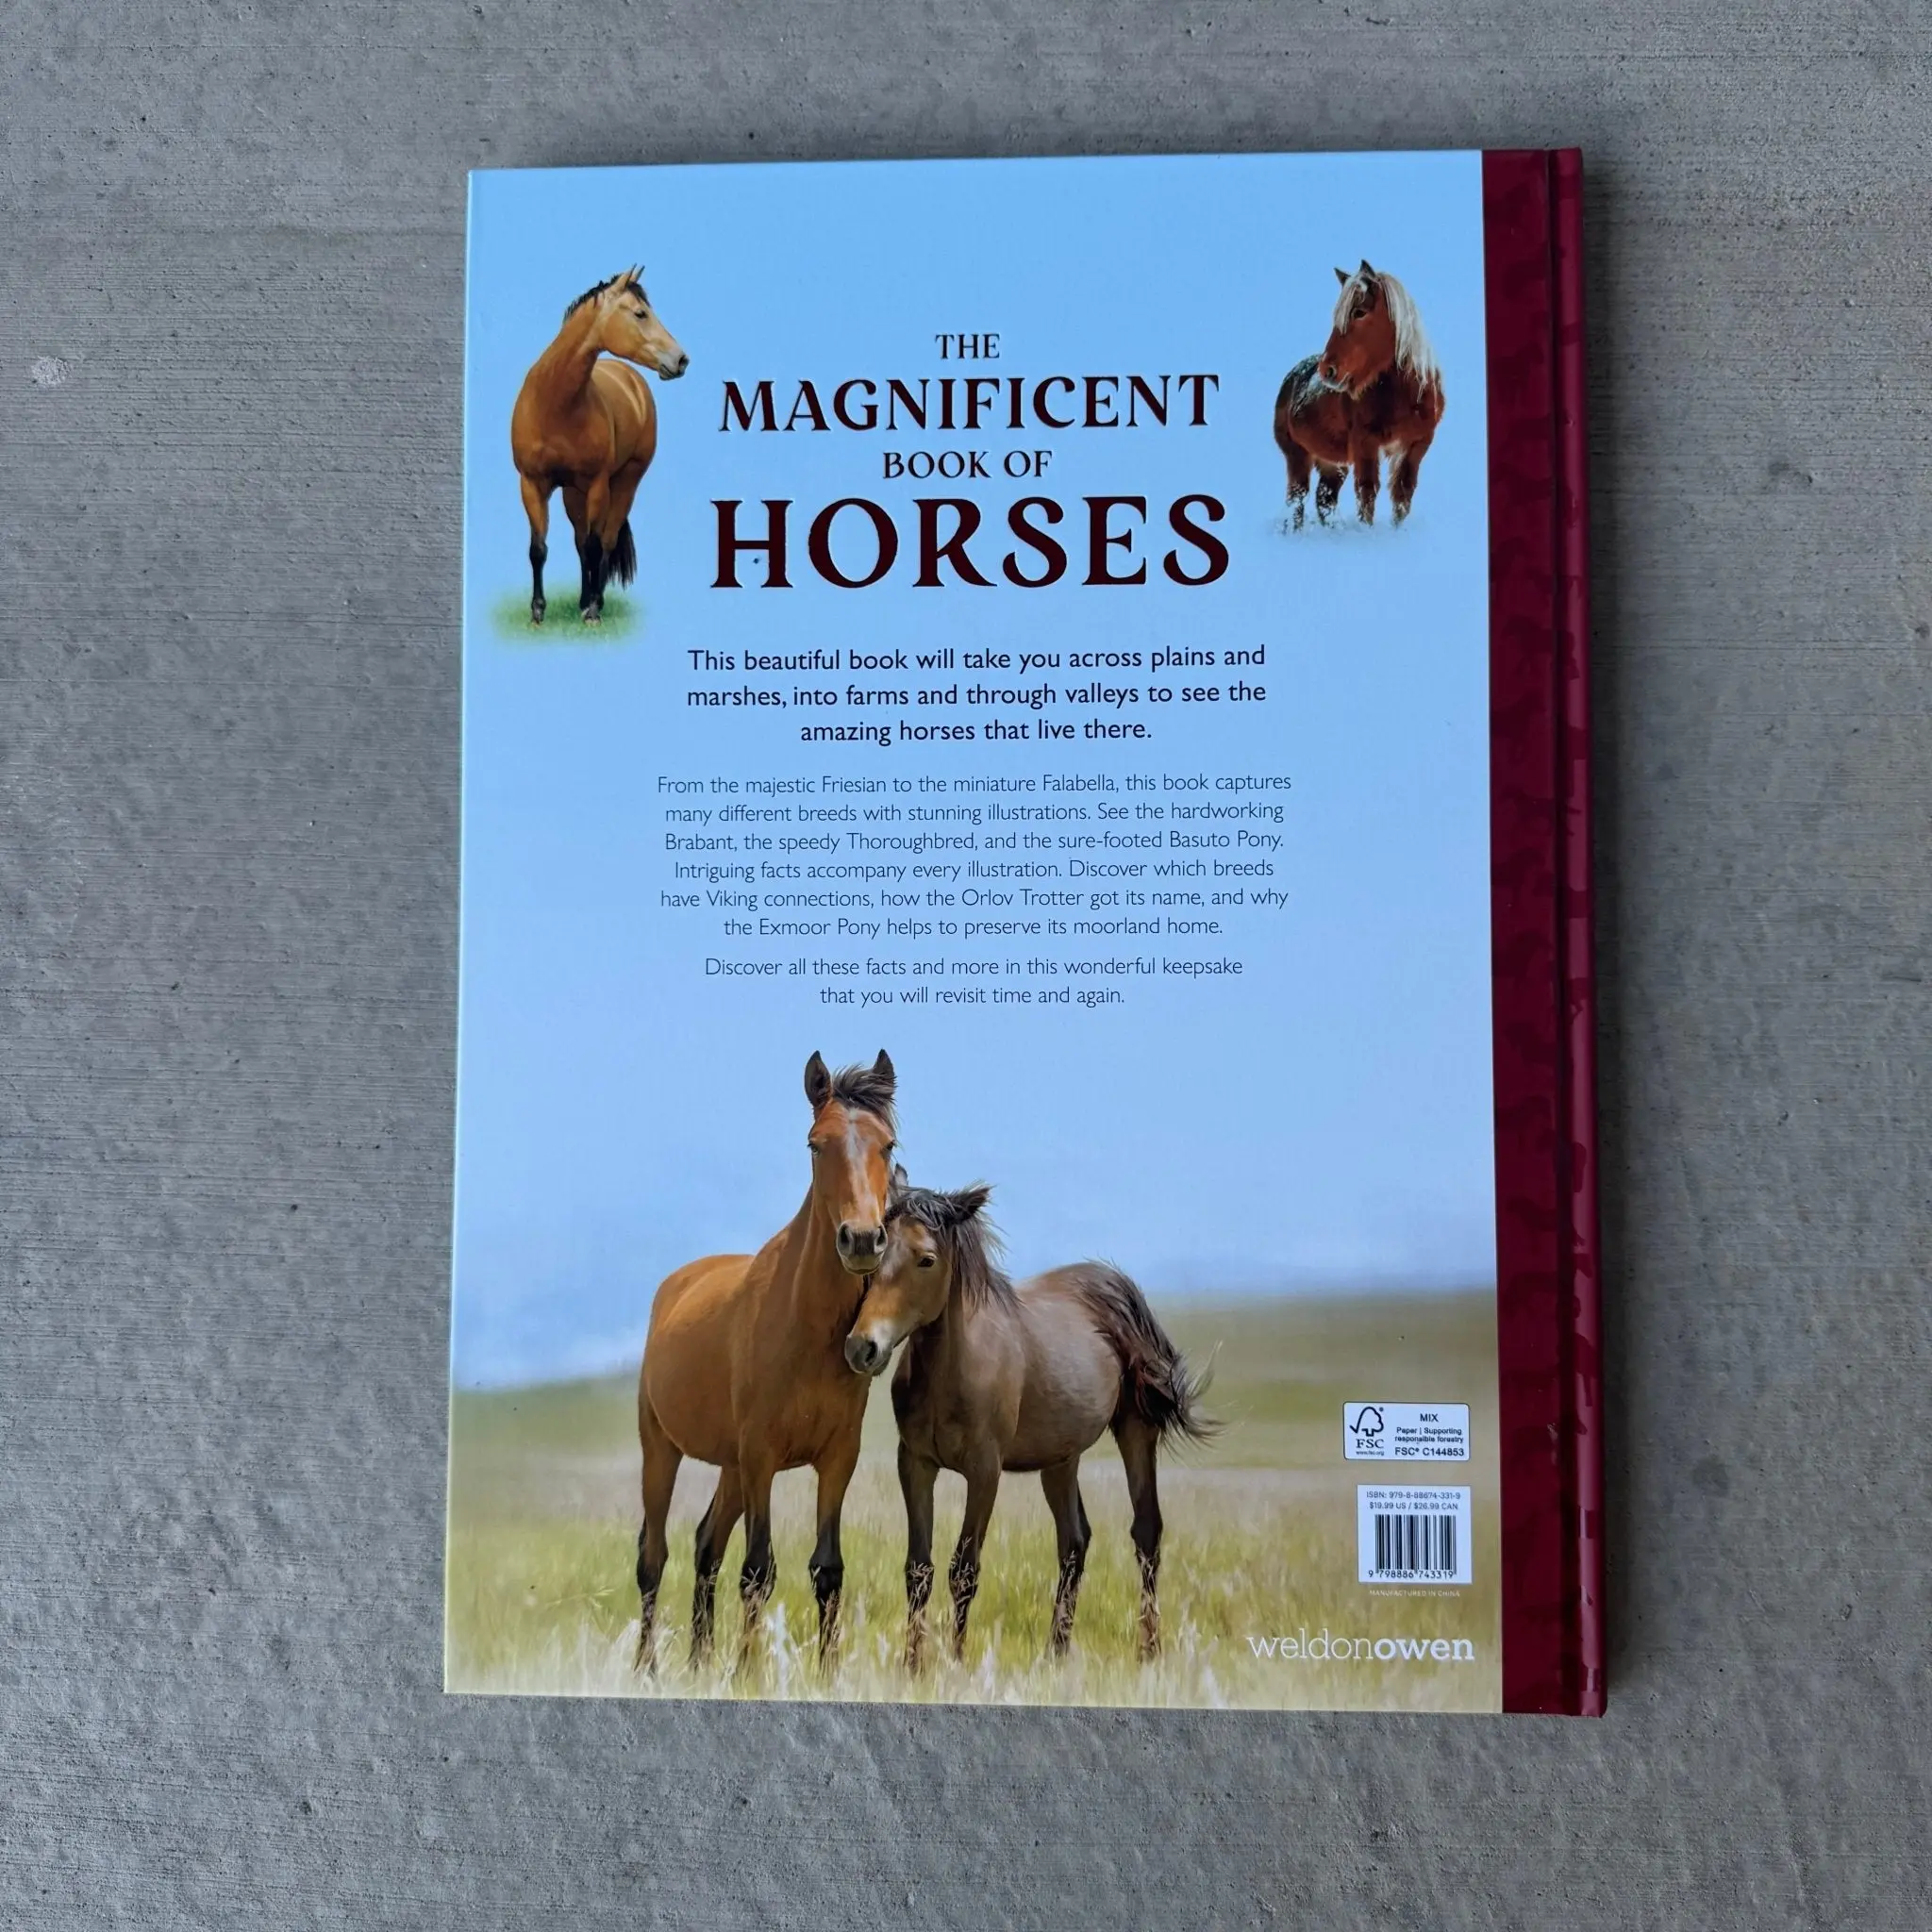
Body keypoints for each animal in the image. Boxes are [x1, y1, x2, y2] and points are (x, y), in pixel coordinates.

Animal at [510, 266, 689, 625]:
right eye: (640, 313)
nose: (680, 359)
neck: (555, 404)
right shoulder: (532, 484)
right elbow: (538, 549)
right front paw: (537, 613)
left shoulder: (596, 485)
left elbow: (596, 545)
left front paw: (592, 612)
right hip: (571, 493)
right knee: (580, 542)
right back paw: (582, 599)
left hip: (625, 483)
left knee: (604, 539)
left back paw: (595, 602)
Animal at [635, 1050, 896, 1674]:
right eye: (815, 1144)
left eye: (888, 1145)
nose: (861, 1240)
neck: (807, 1330)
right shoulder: (761, 1457)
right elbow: (758, 1569)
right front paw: (748, 1671)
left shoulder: (837, 1459)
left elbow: (827, 1570)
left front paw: (828, 1673)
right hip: (662, 1450)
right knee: (654, 1556)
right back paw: (647, 1667)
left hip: (729, 1467)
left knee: (706, 1545)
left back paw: (698, 1663)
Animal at [843, 1181, 1216, 1670]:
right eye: (877, 1251)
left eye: (926, 1259)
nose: (862, 1347)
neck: (952, 1372)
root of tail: (1115, 1286)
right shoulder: (916, 1464)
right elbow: (919, 1569)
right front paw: (912, 1667)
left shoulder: (985, 1471)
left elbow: (964, 1569)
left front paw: (955, 1662)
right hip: (1060, 1459)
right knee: (1074, 1542)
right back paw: (1056, 1651)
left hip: (1136, 1430)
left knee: (1146, 1533)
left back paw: (1148, 1651)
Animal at [1272, 260, 1445, 529]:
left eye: (1360, 312)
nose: (1327, 370)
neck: (1404, 395)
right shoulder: (1365, 443)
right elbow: (1367, 493)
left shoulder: (1417, 443)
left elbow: (1402, 494)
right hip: (1298, 456)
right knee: (1297, 501)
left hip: (1333, 463)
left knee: (1325, 499)